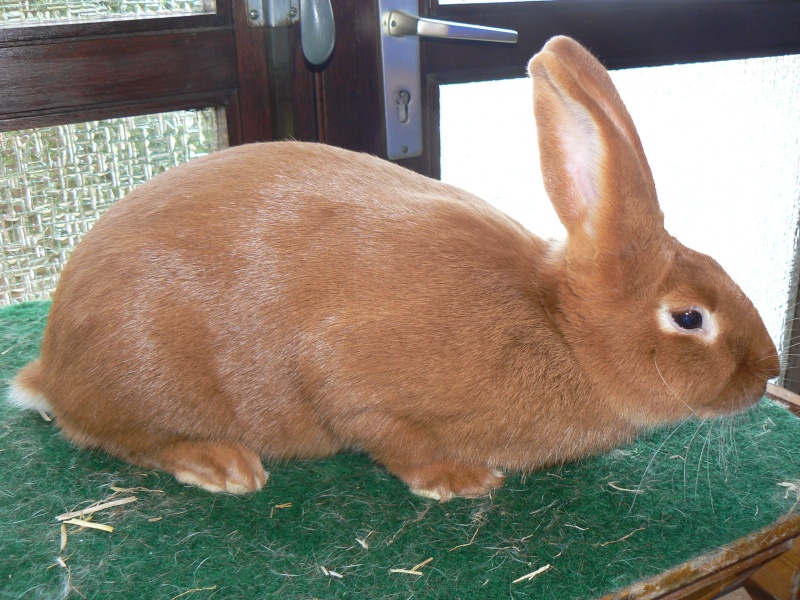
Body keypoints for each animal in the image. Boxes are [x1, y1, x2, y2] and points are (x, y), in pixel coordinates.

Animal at [7, 35, 780, 500]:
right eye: (689, 317)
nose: (770, 372)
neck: (559, 328)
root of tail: (51, 364)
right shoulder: (349, 376)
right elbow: (385, 431)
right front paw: (459, 478)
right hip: (140, 368)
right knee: (116, 434)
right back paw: (220, 464)